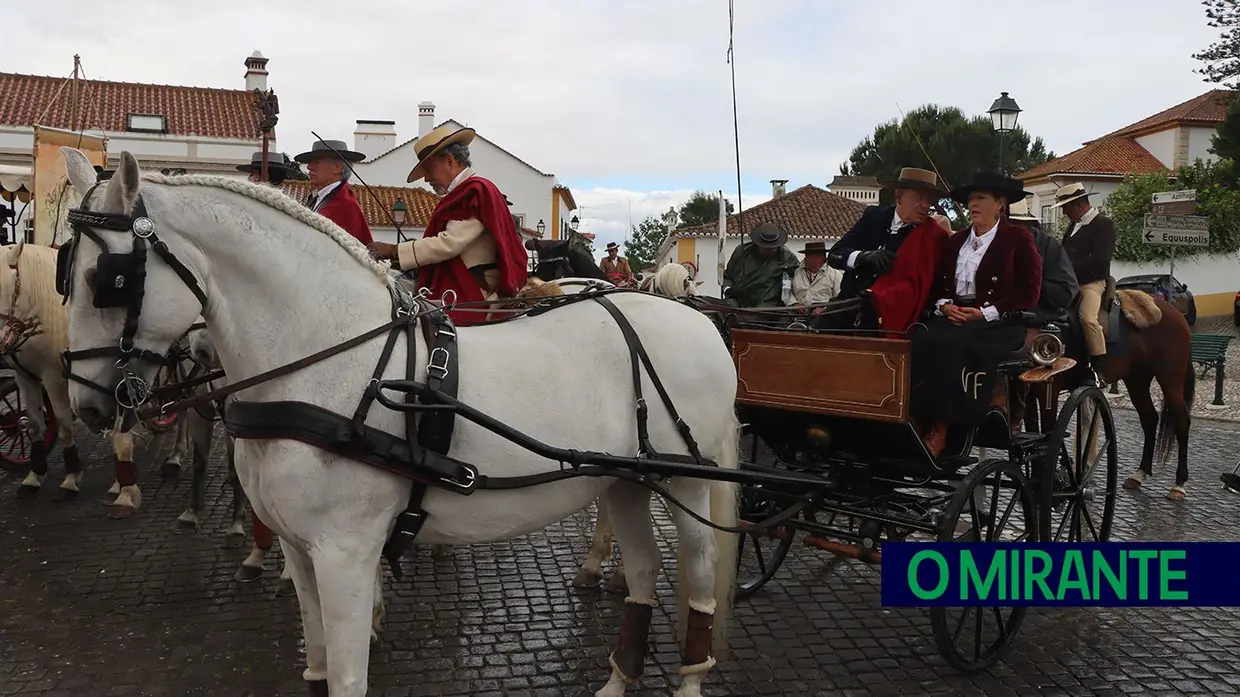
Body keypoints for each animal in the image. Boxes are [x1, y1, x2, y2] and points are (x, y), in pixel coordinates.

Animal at [0, 241, 136, 508]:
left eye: (4, 288)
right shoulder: (24, 377)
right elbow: (32, 424)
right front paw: (34, 475)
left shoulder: (54, 377)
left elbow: (63, 425)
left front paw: (71, 478)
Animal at [58, 147, 734, 694]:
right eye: (65, 269)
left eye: (105, 279)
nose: (86, 404)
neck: (326, 362)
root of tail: (695, 318)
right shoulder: (300, 552)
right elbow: (317, 668)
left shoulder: (346, 553)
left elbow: (348, 678)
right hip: (622, 479)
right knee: (643, 571)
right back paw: (619, 676)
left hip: (684, 480)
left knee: (700, 574)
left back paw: (690, 676)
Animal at [1021, 288, 1195, 498]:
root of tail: (1176, 314)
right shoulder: (1029, 396)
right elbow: (1032, 435)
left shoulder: (1049, 391)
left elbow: (1046, 434)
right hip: (1137, 381)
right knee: (1150, 419)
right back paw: (1140, 474)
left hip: (1170, 380)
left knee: (1181, 422)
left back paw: (1179, 483)